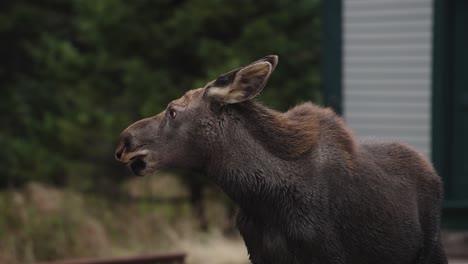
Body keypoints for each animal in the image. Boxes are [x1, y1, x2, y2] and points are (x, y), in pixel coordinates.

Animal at [115, 54, 448, 262]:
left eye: (173, 111)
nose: (124, 141)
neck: (262, 196)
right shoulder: (260, 254)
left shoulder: (329, 255)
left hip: (432, 250)